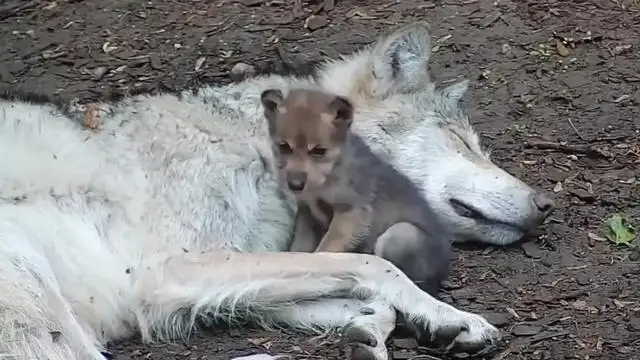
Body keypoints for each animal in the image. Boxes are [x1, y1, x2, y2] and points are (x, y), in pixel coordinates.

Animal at [0, 22, 552, 360]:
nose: (547, 205)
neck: (264, 149)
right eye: (462, 141)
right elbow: (376, 267)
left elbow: (370, 297)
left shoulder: (212, 281)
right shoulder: (171, 272)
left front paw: (381, 328)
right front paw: (450, 316)